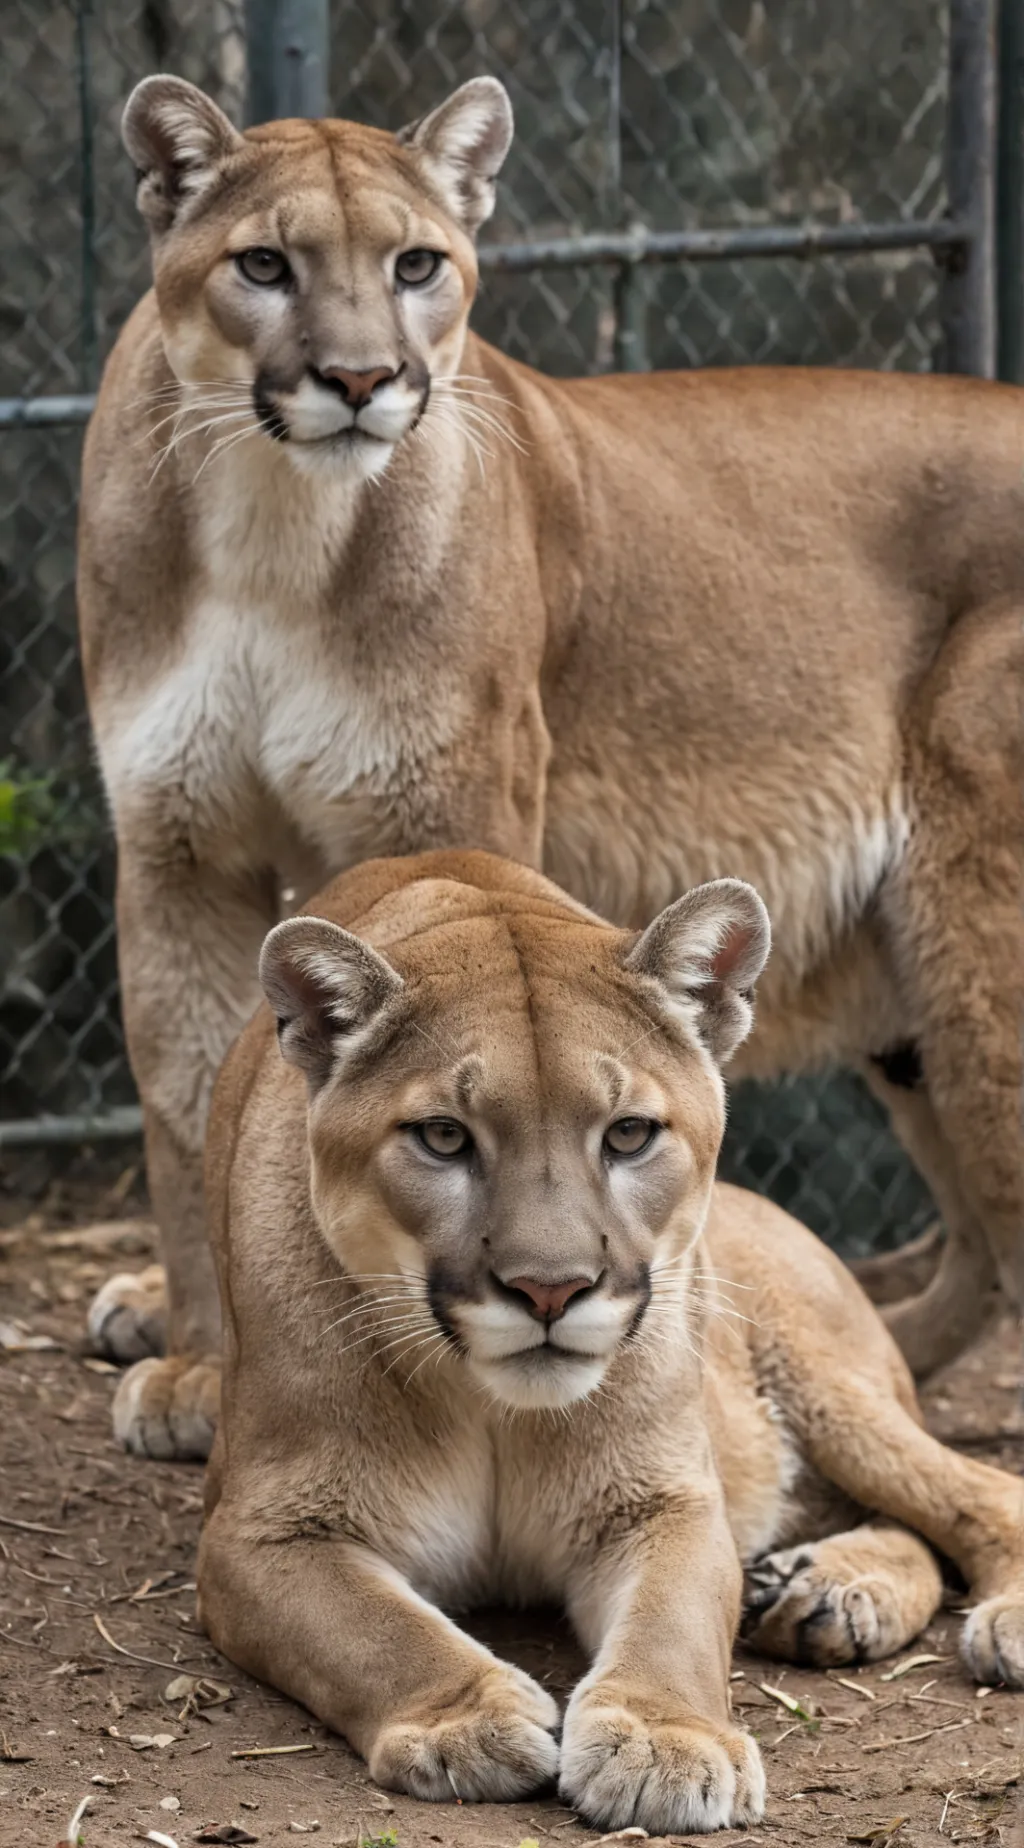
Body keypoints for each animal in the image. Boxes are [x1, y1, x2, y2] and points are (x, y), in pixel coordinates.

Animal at [77, 74, 1024, 1453]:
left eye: (417, 264)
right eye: (263, 264)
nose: (359, 379)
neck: (273, 520)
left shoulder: (447, 803)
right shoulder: (178, 839)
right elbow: (188, 1099)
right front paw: (202, 1354)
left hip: (976, 948)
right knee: (984, 1242)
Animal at [186, 850, 1024, 1837]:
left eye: (628, 1133)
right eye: (443, 1137)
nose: (550, 1289)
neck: (494, 1412)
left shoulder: (667, 1496)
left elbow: (672, 1623)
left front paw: (667, 1744)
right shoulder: (255, 1534)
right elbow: (372, 1628)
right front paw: (465, 1720)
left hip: (829, 1390)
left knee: (980, 1495)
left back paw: (880, 1602)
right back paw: (818, 1593)